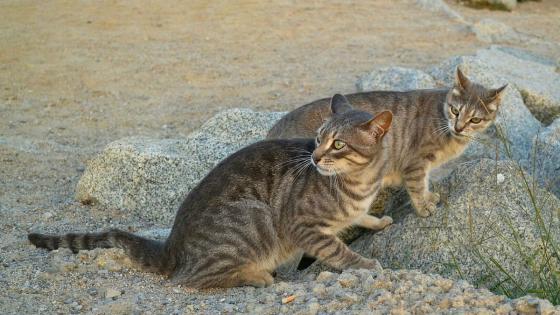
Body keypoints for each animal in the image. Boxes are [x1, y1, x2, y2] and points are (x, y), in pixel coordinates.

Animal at [27, 95, 394, 290]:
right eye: (318, 138)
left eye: (339, 144)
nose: (315, 157)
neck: (359, 182)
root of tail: (171, 247)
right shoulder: (302, 226)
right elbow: (337, 251)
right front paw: (365, 263)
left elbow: (362, 217)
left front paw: (379, 221)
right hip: (255, 219)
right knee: (196, 278)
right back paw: (257, 275)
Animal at [266, 69, 508, 217]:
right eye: (455, 110)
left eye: (475, 119)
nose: (459, 127)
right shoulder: (416, 162)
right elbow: (418, 185)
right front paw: (423, 206)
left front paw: (429, 197)